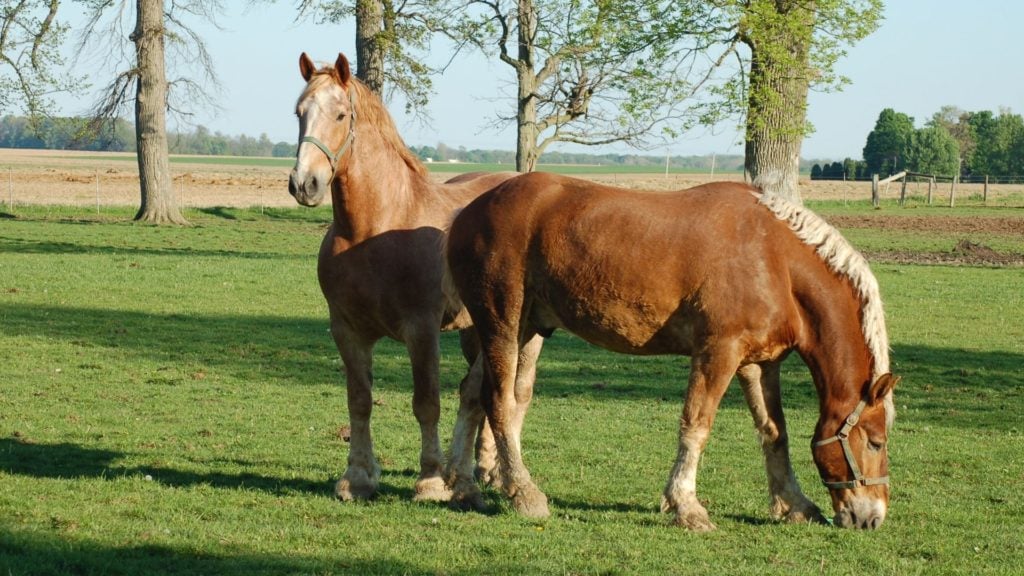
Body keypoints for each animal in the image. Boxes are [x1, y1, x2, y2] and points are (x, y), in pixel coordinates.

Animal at [290, 53, 520, 500]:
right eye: (299, 113)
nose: (304, 183)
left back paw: (486, 473)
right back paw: (481, 468)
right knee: (481, 393)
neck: (374, 227)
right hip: (474, 330)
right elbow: (359, 400)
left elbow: (426, 402)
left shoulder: (421, 330)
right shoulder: (347, 330)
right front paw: (357, 477)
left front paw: (430, 479)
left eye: (340, 114)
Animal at [444, 174, 901, 528]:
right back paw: (523, 493)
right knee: (499, 402)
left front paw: (795, 505)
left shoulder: (759, 364)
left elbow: (774, 433)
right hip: (502, 323)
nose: (873, 517)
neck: (775, 260)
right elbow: (696, 426)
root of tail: (467, 213)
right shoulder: (718, 353)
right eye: (876, 442)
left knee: (471, 394)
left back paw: (462, 485)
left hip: (518, 328)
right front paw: (686, 506)